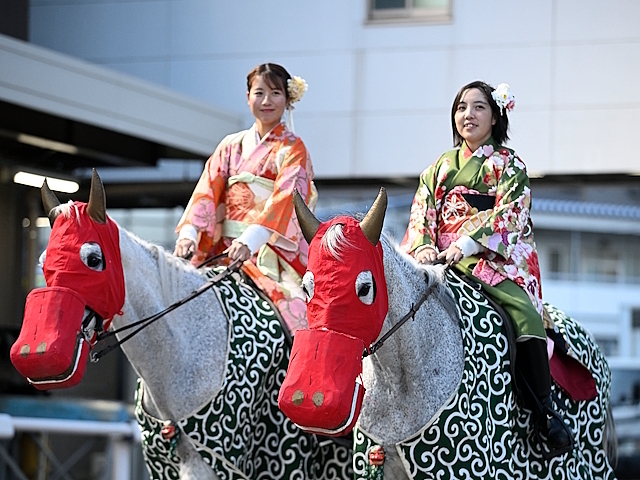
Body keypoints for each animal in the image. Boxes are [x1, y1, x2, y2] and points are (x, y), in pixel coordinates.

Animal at [10, 172, 350, 480]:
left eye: (93, 259)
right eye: (42, 263)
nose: (37, 355)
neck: (180, 350)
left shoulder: (224, 461)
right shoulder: (166, 461)